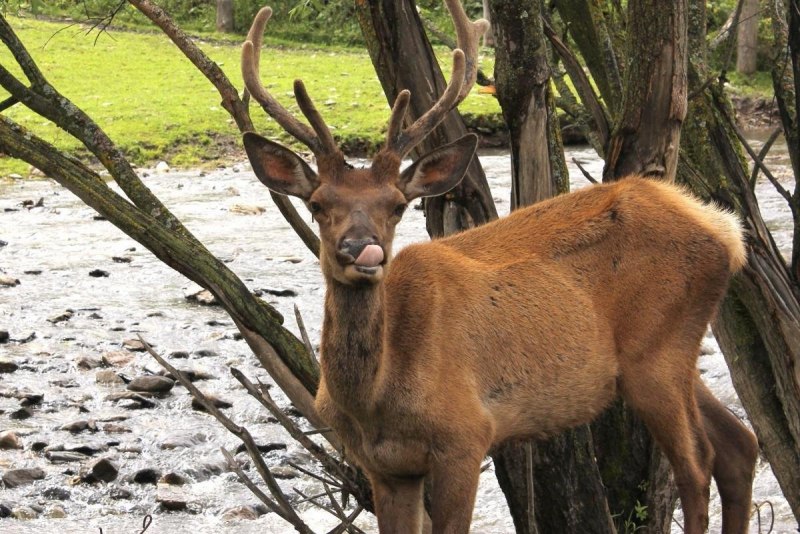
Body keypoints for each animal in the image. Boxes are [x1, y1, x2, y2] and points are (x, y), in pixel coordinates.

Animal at [239, 2, 759, 533]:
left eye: (397, 205)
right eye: (318, 204)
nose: (362, 249)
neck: (375, 398)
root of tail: (725, 230)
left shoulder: (465, 434)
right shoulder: (385, 467)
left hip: (657, 353)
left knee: (698, 467)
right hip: (672, 351)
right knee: (740, 445)